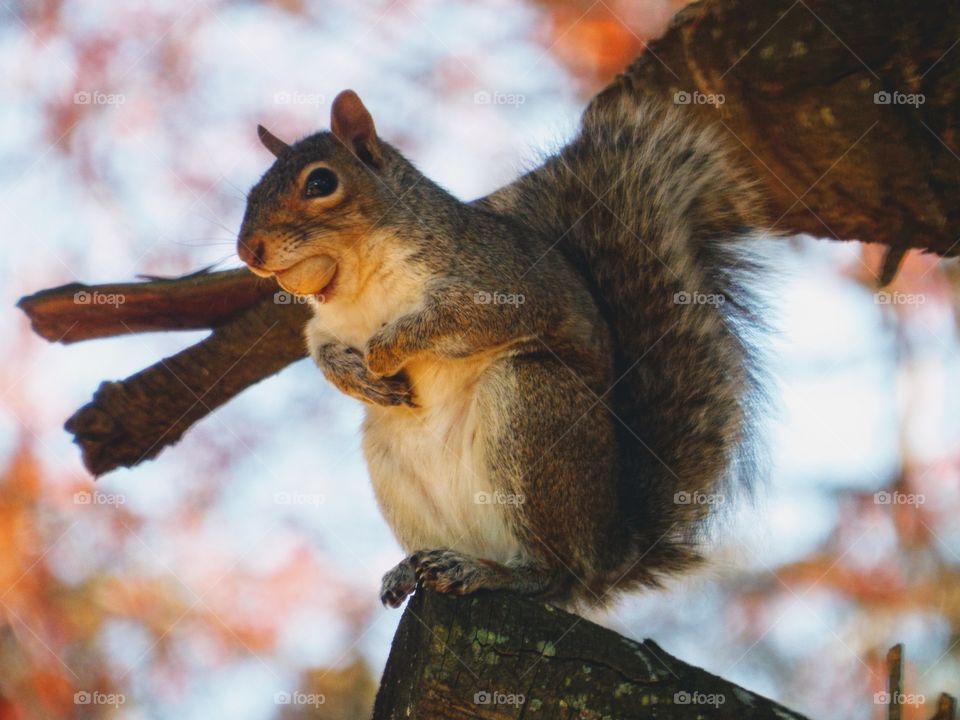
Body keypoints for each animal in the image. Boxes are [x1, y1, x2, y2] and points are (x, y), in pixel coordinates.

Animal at [236, 84, 766, 610]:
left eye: (321, 183)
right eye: (253, 191)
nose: (248, 251)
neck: (356, 282)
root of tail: (608, 553)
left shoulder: (501, 284)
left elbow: (456, 321)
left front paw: (384, 351)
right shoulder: (327, 325)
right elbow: (321, 350)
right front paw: (355, 376)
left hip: (530, 409)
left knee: (551, 572)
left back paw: (495, 574)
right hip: (393, 461)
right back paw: (420, 566)